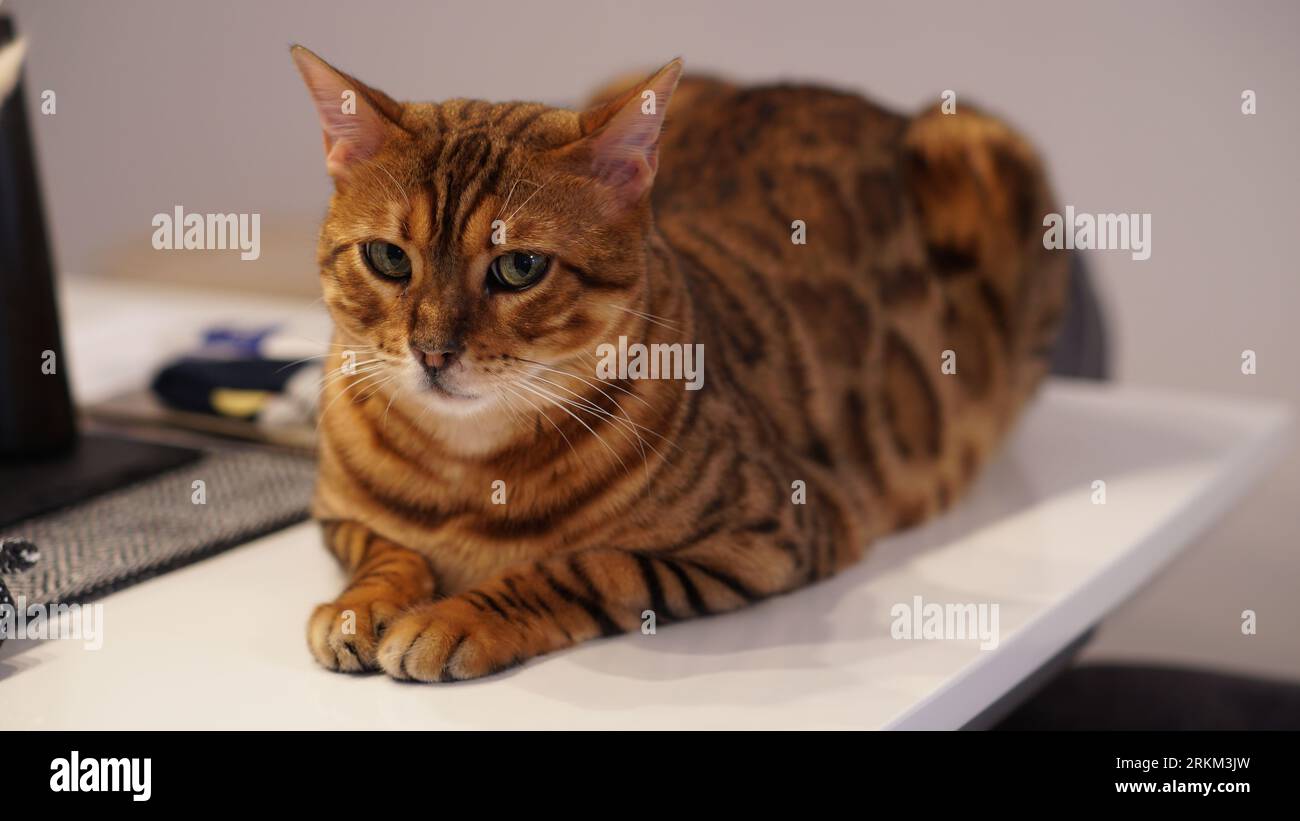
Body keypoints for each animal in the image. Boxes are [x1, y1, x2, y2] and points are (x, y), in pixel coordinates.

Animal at [292, 48, 1066, 680]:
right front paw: (361, 607)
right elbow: (384, 550)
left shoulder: (766, 534)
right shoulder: (334, 510)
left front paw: (455, 618)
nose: (432, 351)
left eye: (520, 267)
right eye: (388, 258)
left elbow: (580, 567)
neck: (465, 471)